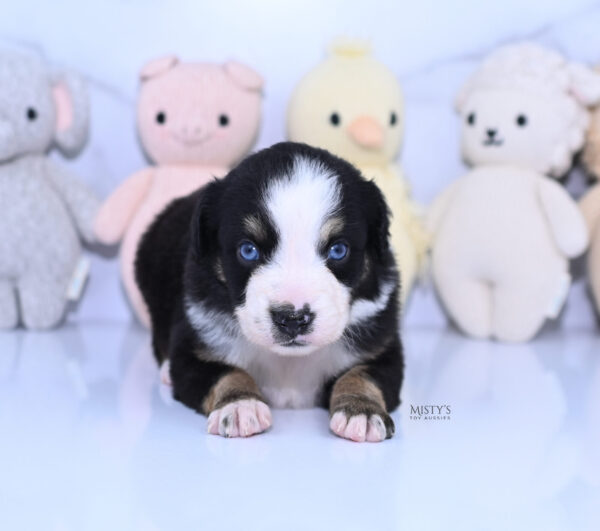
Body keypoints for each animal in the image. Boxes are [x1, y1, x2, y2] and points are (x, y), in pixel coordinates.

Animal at [137, 142, 404, 444]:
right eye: (248, 250)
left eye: (338, 250)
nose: (293, 319)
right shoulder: (195, 344)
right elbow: (225, 372)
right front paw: (239, 404)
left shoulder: (382, 347)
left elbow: (363, 374)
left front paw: (361, 410)